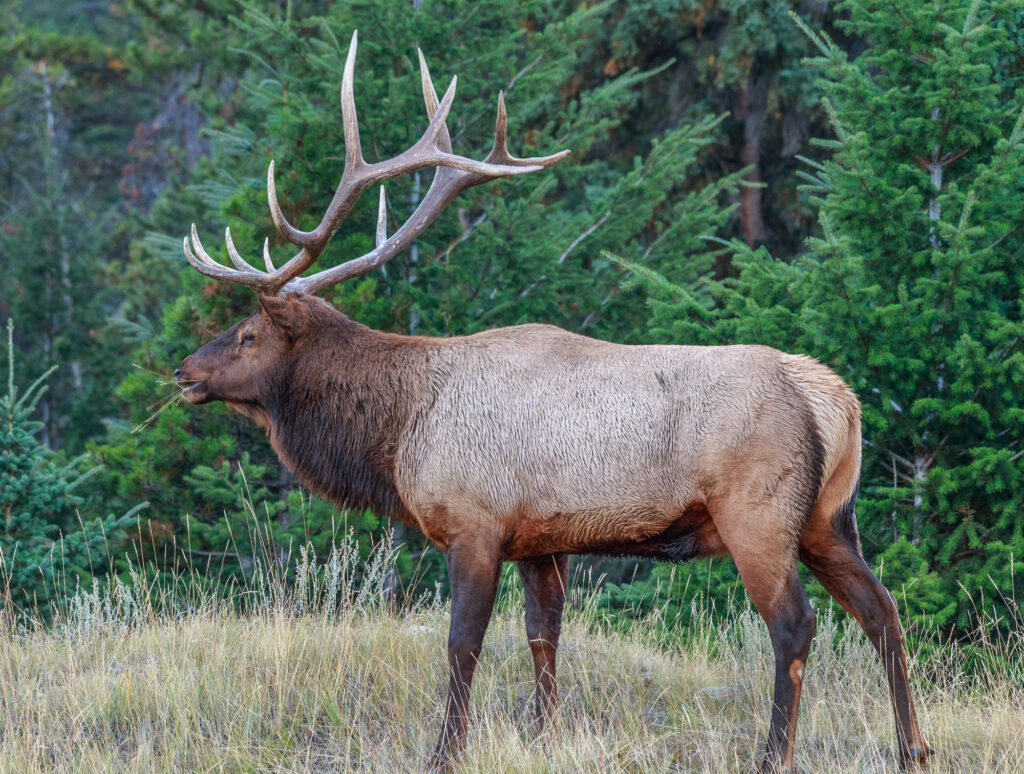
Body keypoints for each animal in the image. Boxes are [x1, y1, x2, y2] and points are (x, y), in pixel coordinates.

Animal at [173, 31, 930, 773]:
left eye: (247, 334)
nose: (183, 371)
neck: (400, 430)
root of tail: (835, 399)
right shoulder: (540, 538)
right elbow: (543, 637)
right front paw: (544, 734)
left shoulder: (475, 523)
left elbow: (463, 643)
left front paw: (445, 751)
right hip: (829, 518)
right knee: (883, 610)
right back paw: (912, 747)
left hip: (759, 513)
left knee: (795, 625)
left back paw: (774, 754)